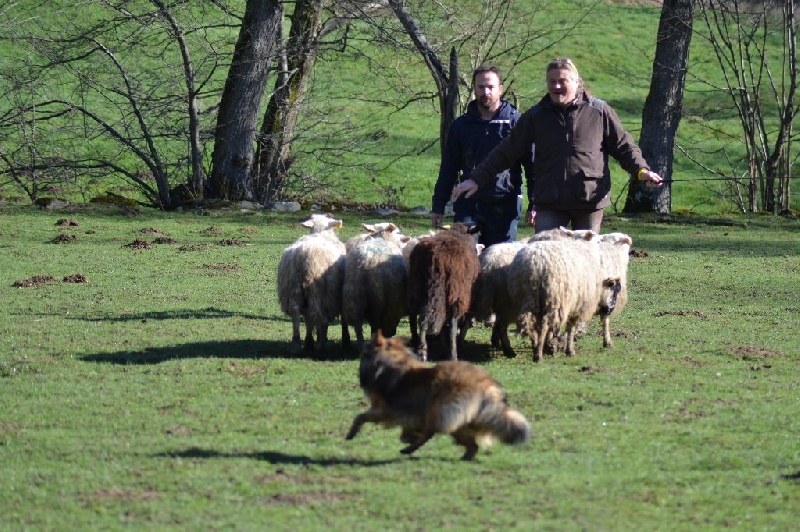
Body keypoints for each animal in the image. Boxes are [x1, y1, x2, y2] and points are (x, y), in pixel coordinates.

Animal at [278, 214, 346, 356]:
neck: (321, 232)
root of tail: (304, 255)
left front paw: (308, 341)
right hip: (320, 292)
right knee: (318, 316)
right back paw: (320, 343)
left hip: (293, 289)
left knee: (296, 313)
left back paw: (297, 343)